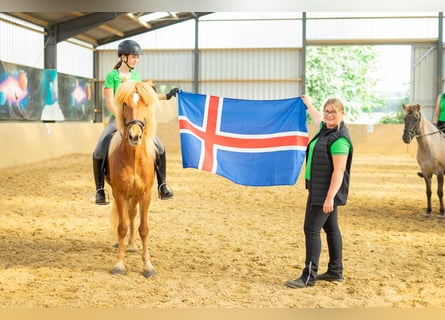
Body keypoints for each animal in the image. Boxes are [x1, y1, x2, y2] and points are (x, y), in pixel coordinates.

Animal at [105, 79, 158, 276]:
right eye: (125, 104)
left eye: (146, 104)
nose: (135, 136)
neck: (134, 157)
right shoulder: (119, 193)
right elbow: (121, 227)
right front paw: (119, 265)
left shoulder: (145, 194)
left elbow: (144, 228)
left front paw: (148, 265)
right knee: (125, 217)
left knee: (132, 214)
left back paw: (133, 245)